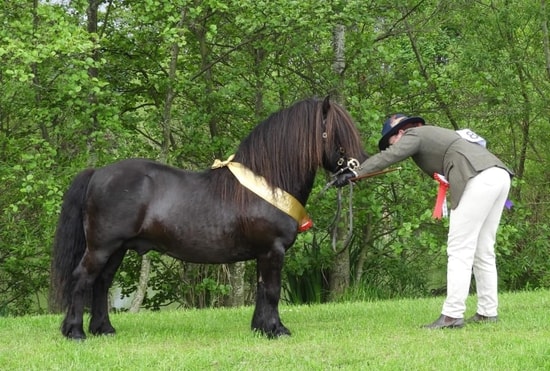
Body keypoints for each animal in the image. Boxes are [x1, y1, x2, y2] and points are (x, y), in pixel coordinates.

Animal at [51, 96, 368, 340]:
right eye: (339, 133)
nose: (358, 166)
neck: (269, 184)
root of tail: (98, 173)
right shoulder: (273, 250)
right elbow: (273, 290)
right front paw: (277, 330)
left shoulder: (263, 253)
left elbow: (261, 290)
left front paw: (261, 328)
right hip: (102, 247)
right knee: (83, 278)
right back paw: (75, 332)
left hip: (116, 249)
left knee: (102, 282)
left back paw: (103, 329)